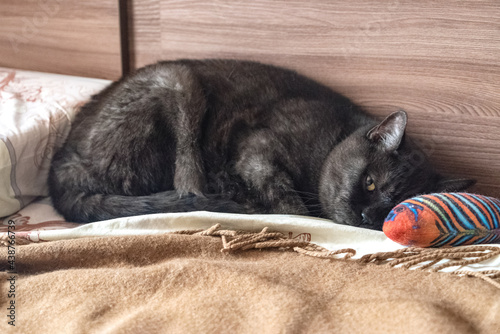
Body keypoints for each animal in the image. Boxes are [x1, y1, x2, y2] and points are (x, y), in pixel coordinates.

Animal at [48, 58, 474, 228]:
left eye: (395, 207)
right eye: (370, 183)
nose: (369, 216)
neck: (332, 139)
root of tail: (61, 167)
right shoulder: (257, 152)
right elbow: (292, 206)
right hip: (177, 83)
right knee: (189, 191)